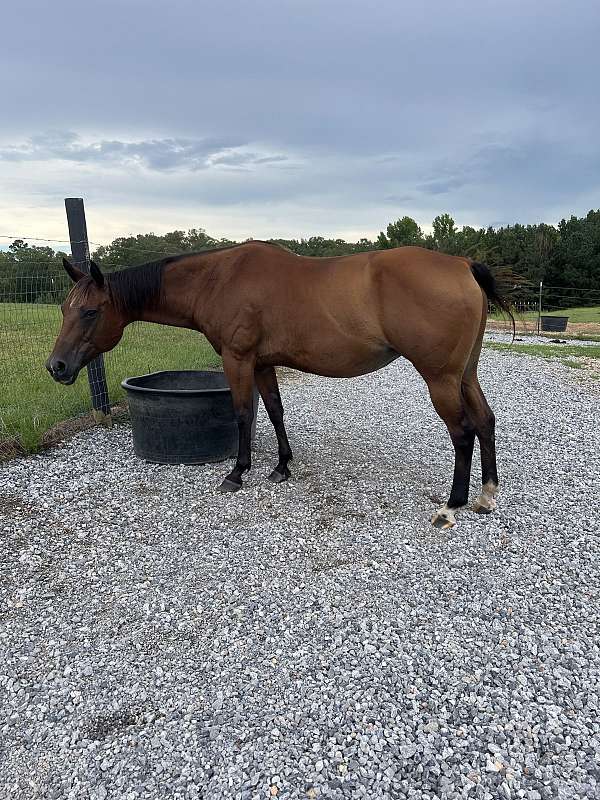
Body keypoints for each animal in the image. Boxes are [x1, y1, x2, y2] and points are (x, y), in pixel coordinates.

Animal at [47, 244, 512, 532]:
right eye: (65, 308)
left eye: (90, 312)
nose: (57, 367)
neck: (218, 278)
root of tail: (461, 265)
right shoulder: (263, 363)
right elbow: (273, 410)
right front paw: (282, 467)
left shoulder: (237, 359)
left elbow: (242, 413)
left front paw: (237, 472)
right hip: (465, 375)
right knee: (485, 421)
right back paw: (486, 496)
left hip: (441, 379)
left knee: (463, 432)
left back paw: (451, 506)